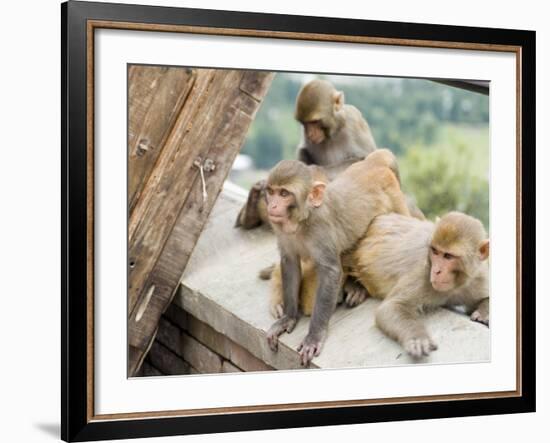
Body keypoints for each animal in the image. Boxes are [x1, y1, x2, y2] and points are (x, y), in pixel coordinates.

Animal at [266, 149, 412, 364]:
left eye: (284, 194)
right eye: (272, 192)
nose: (273, 206)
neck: (302, 221)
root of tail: (373, 163)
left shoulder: (321, 230)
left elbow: (331, 272)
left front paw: (314, 336)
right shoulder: (283, 231)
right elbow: (290, 262)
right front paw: (288, 318)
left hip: (395, 198)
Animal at [272, 212, 492, 360]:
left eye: (448, 256)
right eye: (435, 252)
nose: (437, 271)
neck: (456, 285)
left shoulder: (478, 276)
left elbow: (484, 297)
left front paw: (483, 313)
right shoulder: (422, 275)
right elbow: (390, 308)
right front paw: (417, 339)